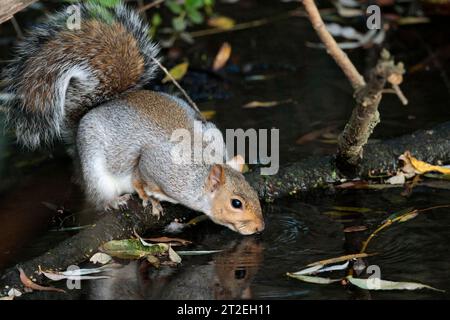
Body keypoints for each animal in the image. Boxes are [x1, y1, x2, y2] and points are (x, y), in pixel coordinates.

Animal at [2, 1, 264, 235]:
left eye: (253, 191)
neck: (199, 172)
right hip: (95, 170)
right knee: (98, 196)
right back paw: (112, 201)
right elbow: (139, 177)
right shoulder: (154, 164)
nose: (260, 227)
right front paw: (150, 198)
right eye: (236, 203)